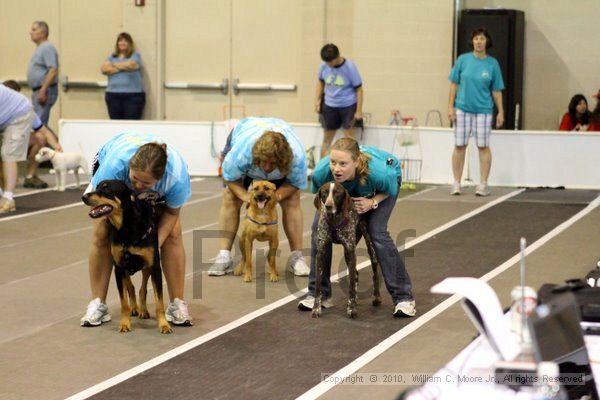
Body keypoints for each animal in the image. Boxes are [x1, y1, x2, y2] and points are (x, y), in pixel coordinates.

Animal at [81, 180, 171, 332]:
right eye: (97, 187)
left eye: (106, 189)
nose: (84, 197)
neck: (126, 227)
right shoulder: (119, 267)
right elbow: (124, 301)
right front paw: (124, 323)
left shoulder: (154, 267)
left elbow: (159, 302)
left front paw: (164, 324)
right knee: (131, 288)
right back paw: (134, 308)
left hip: (147, 267)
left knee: (142, 289)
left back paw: (143, 310)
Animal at [312, 182, 382, 318]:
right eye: (324, 192)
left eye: (337, 193)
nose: (328, 206)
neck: (334, 219)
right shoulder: (321, 253)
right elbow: (318, 285)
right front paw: (316, 309)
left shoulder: (351, 252)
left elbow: (351, 285)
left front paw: (351, 309)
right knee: (356, 274)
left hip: (370, 249)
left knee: (374, 274)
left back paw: (376, 298)